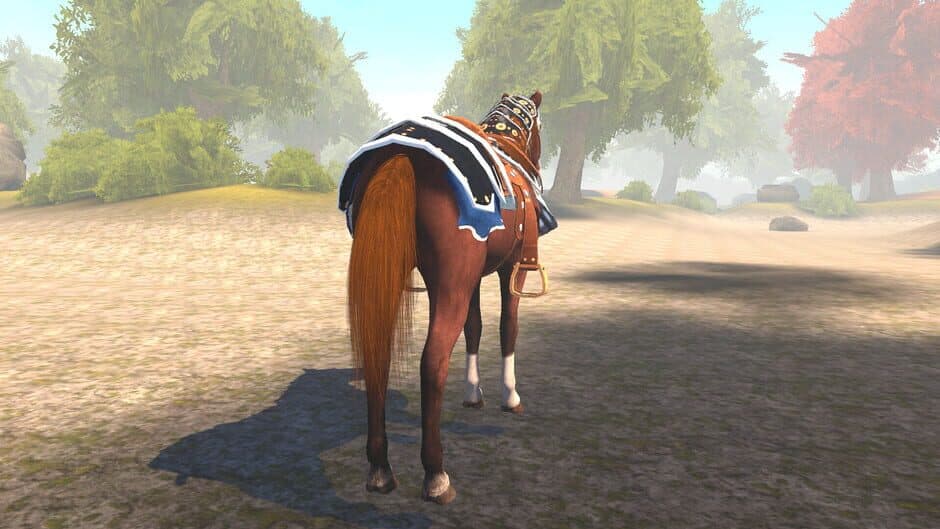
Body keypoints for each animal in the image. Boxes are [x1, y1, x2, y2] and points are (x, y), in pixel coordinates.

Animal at [343, 91, 547, 505]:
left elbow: (475, 327)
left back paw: (380, 468)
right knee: (432, 362)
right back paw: (436, 474)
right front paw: (509, 396)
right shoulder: (509, 270)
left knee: (378, 354)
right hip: (453, 283)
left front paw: (472, 393)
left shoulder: (466, 279)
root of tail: (402, 155)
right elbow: (507, 329)